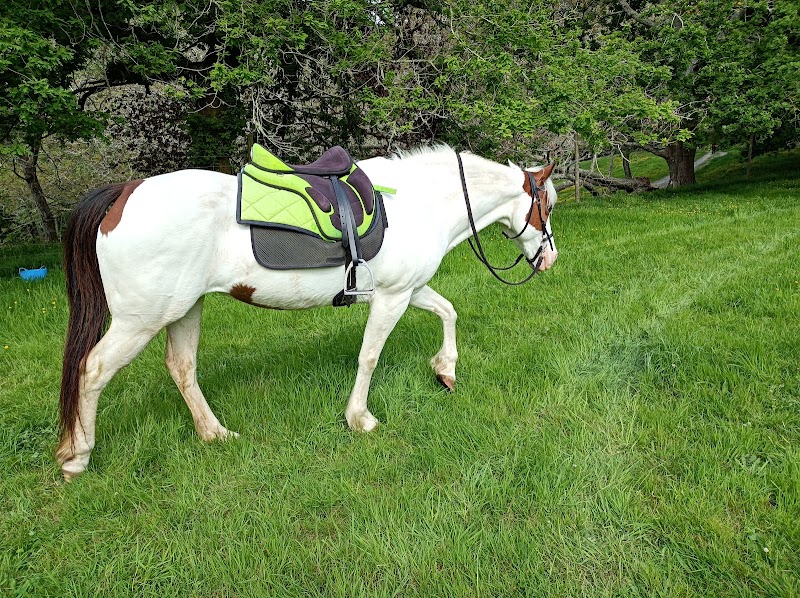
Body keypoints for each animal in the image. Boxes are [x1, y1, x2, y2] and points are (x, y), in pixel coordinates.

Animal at [56, 146, 558, 480]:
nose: (550, 258)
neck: (419, 203)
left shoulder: (408, 289)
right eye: (546, 205)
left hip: (183, 309)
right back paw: (77, 457)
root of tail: (125, 193)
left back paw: (214, 433)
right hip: (140, 321)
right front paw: (360, 419)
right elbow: (369, 357)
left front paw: (446, 370)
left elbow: (448, 312)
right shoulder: (392, 297)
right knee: (92, 370)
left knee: (182, 368)